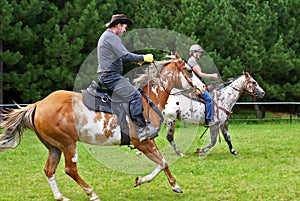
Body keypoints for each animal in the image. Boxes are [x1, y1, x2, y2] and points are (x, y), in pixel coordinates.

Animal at [0, 53, 204, 201]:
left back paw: (61, 197)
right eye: (189, 71)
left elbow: (162, 162)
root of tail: (38, 105)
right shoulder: (143, 142)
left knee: (49, 170)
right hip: (68, 144)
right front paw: (169, 184)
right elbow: (163, 162)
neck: (147, 100)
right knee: (70, 170)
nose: (202, 88)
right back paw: (92, 193)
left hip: (54, 147)